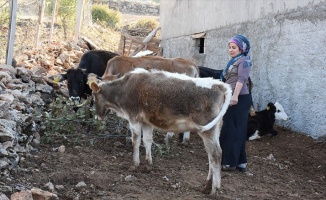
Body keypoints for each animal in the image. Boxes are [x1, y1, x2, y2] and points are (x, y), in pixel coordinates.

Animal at [88, 68, 233, 195]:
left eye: (93, 98)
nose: (97, 117)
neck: (124, 88)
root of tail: (219, 85)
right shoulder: (146, 122)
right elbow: (147, 141)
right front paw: (148, 165)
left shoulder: (134, 118)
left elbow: (135, 141)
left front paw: (135, 164)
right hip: (215, 129)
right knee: (211, 155)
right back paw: (207, 186)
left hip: (208, 130)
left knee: (215, 154)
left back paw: (214, 190)